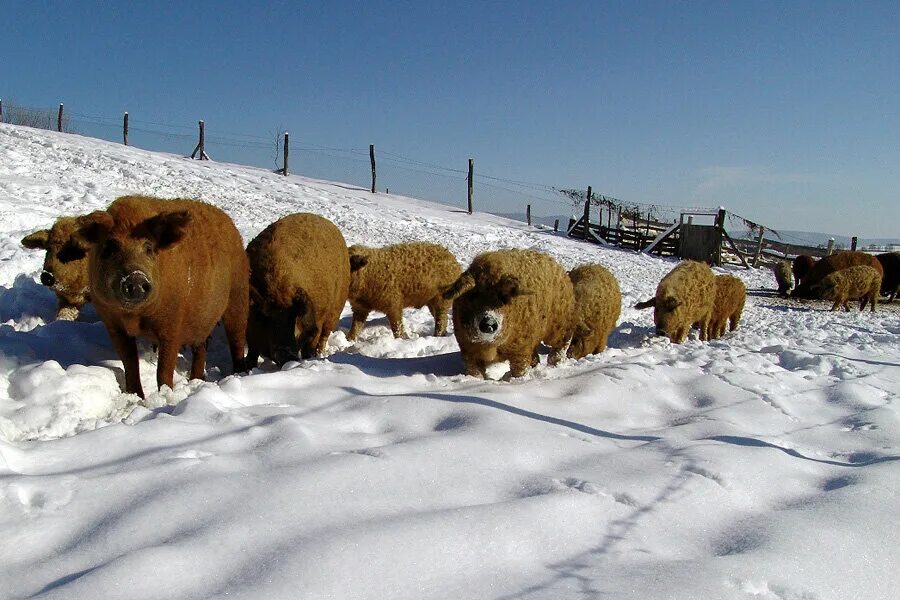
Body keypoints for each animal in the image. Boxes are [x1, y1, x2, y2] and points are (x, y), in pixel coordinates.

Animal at [74, 195, 248, 396]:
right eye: (110, 248)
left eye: (149, 248)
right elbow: (129, 362)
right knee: (201, 346)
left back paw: (239, 374)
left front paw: (165, 394)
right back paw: (196, 380)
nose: (135, 277)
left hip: (239, 294)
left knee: (236, 338)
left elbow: (164, 369)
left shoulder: (173, 321)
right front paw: (136, 396)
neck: (134, 317)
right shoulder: (111, 322)